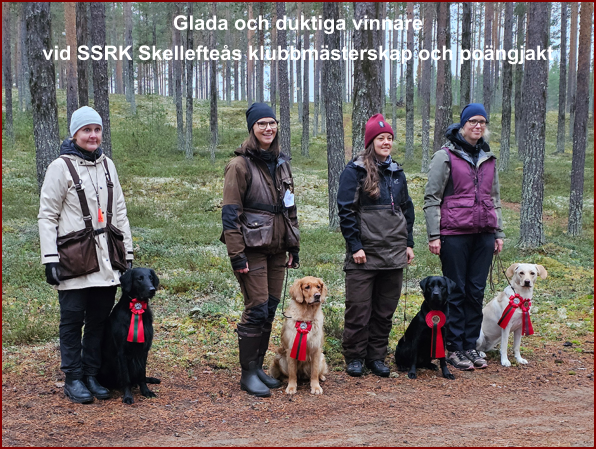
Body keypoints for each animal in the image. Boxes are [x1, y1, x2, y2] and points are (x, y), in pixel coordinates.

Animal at [99, 266, 162, 402]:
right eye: (139, 278)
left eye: (151, 278)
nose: (152, 290)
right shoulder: (122, 351)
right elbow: (125, 377)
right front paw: (128, 396)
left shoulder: (144, 350)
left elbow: (142, 374)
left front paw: (146, 391)